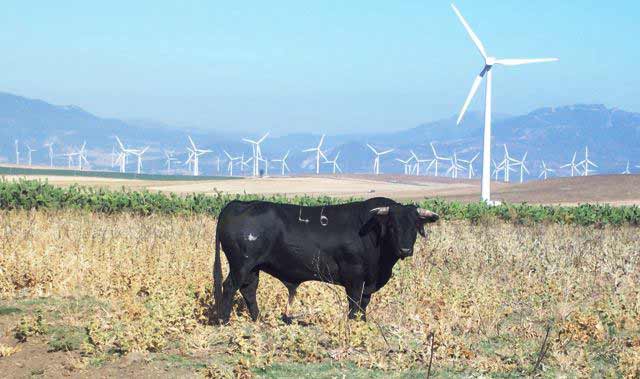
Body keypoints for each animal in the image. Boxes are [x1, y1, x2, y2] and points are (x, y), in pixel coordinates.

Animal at [212, 197, 438, 326]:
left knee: (249, 289)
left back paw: (258, 320)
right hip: (241, 264)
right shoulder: (354, 276)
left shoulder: (368, 281)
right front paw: (353, 323)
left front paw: (363, 323)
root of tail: (238, 203)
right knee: (230, 286)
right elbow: (354, 303)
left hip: (253, 267)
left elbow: (364, 303)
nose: (405, 249)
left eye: (414, 226)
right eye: (392, 225)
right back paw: (224, 320)